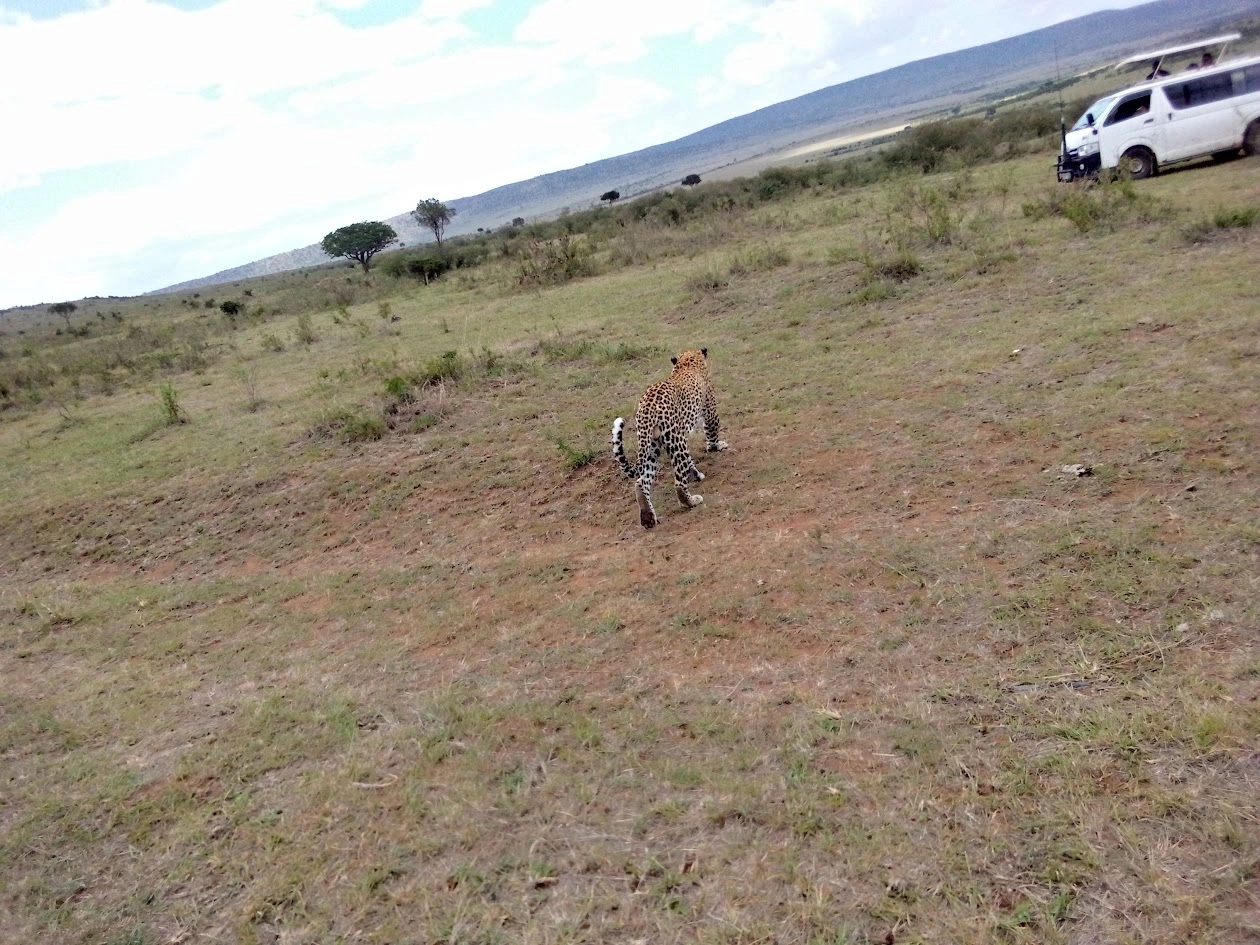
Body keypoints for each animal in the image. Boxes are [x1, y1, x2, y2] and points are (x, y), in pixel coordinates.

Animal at [611, 347, 728, 529]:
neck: (686, 363)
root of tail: (646, 409)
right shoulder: (709, 411)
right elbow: (712, 433)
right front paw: (717, 447)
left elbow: (690, 461)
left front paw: (695, 474)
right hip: (674, 441)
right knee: (678, 483)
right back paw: (692, 501)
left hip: (652, 446)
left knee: (641, 482)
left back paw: (647, 517)